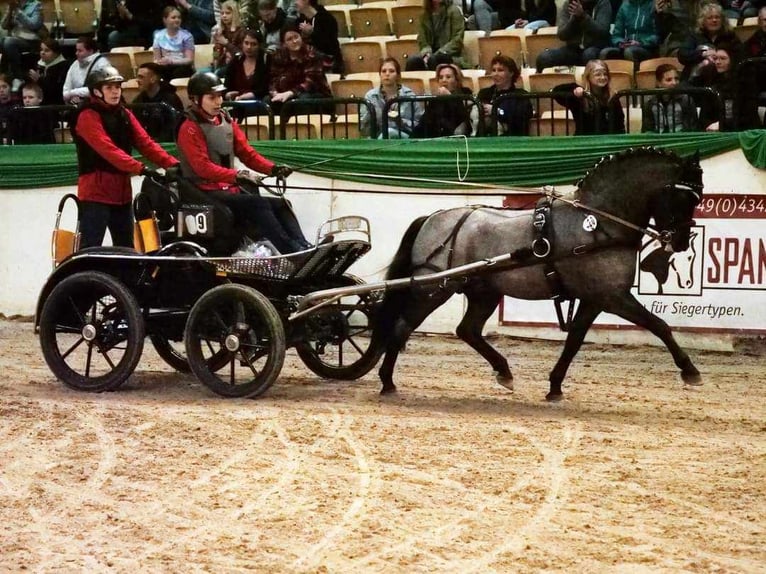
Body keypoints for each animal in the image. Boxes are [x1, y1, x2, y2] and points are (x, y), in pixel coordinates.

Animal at [374, 148, 708, 400]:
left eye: (699, 197)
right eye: (684, 197)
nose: (680, 241)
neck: (598, 223)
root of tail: (434, 217)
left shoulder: (595, 299)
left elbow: (574, 340)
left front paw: (555, 386)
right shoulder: (614, 297)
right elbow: (659, 325)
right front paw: (690, 371)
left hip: (484, 292)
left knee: (467, 330)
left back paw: (504, 372)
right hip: (434, 289)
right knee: (402, 326)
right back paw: (387, 381)